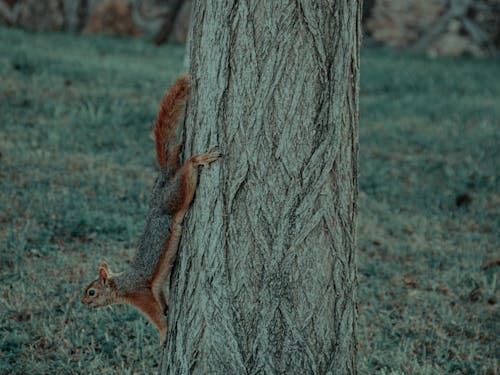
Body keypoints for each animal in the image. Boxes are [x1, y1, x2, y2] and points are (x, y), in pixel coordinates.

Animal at [81, 75, 221, 346]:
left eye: (91, 291)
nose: (83, 303)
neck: (122, 285)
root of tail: (163, 178)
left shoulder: (140, 294)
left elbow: (155, 315)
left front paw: (164, 334)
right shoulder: (155, 290)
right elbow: (162, 300)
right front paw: (167, 310)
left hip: (174, 197)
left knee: (187, 172)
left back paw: (199, 158)